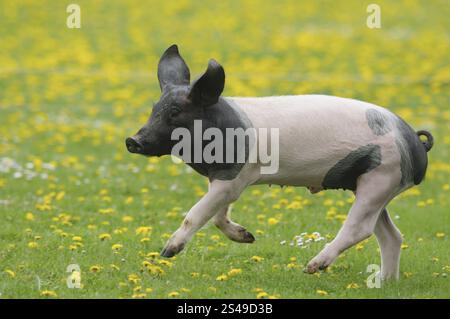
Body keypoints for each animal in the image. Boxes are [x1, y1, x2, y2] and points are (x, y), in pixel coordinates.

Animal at [125, 44, 432, 280]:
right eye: (154, 108)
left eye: (176, 112)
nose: (132, 140)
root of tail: (416, 142)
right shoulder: (225, 178)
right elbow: (218, 216)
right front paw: (248, 237)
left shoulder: (234, 178)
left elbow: (197, 214)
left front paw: (167, 252)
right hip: (374, 184)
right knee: (392, 235)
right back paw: (384, 282)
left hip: (380, 177)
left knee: (361, 228)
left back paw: (311, 267)